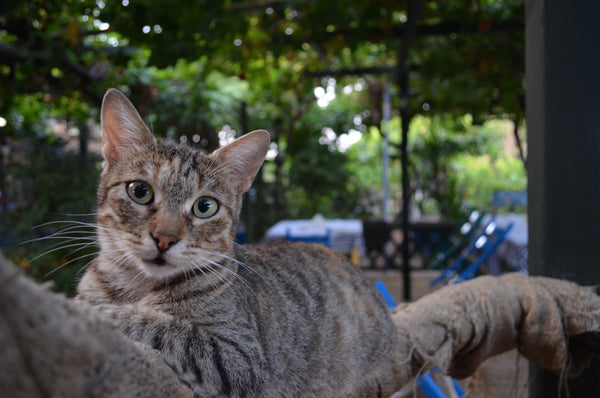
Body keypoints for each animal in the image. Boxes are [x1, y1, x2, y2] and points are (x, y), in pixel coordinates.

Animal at [75, 88, 404, 396]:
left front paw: (97, 311)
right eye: (140, 191)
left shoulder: (239, 360)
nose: (165, 238)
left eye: (204, 207)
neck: (137, 286)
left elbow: (161, 326)